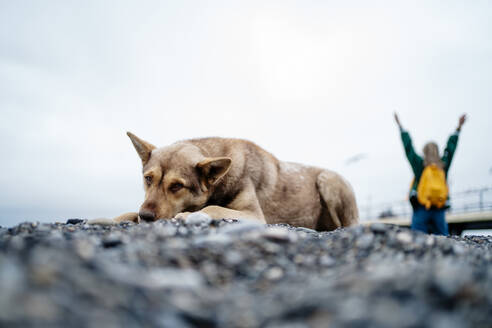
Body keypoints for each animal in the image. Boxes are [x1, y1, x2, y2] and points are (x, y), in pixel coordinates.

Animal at [109, 132, 360, 229]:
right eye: (148, 179)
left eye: (177, 186)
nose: (146, 216)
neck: (219, 183)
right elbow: (127, 213)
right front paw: (117, 218)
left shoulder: (254, 215)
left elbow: (212, 208)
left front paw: (190, 215)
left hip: (327, 180)